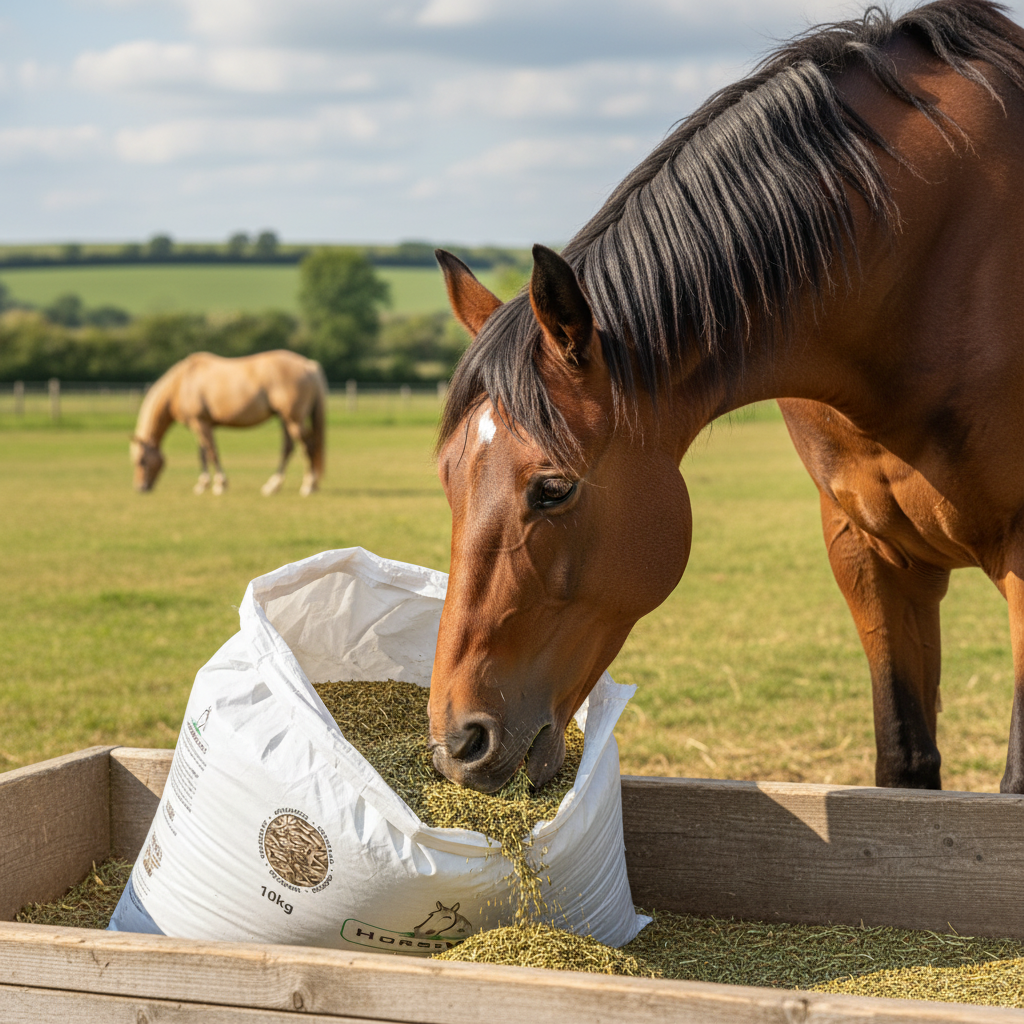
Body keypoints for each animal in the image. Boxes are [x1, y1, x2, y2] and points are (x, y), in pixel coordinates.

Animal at [130, 350, 327, 496]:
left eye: (141, 461)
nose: (141, 488)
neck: (180, 385)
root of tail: (308, 366)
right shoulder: (202, 424)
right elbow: (202, 453)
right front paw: (202, 484)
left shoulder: (200, 423)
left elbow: (211, 452)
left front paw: (219, 484)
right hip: (286, 419)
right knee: (288, 448)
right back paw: (273, 486)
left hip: (293, 419)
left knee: (308, 446)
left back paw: (308, 486)